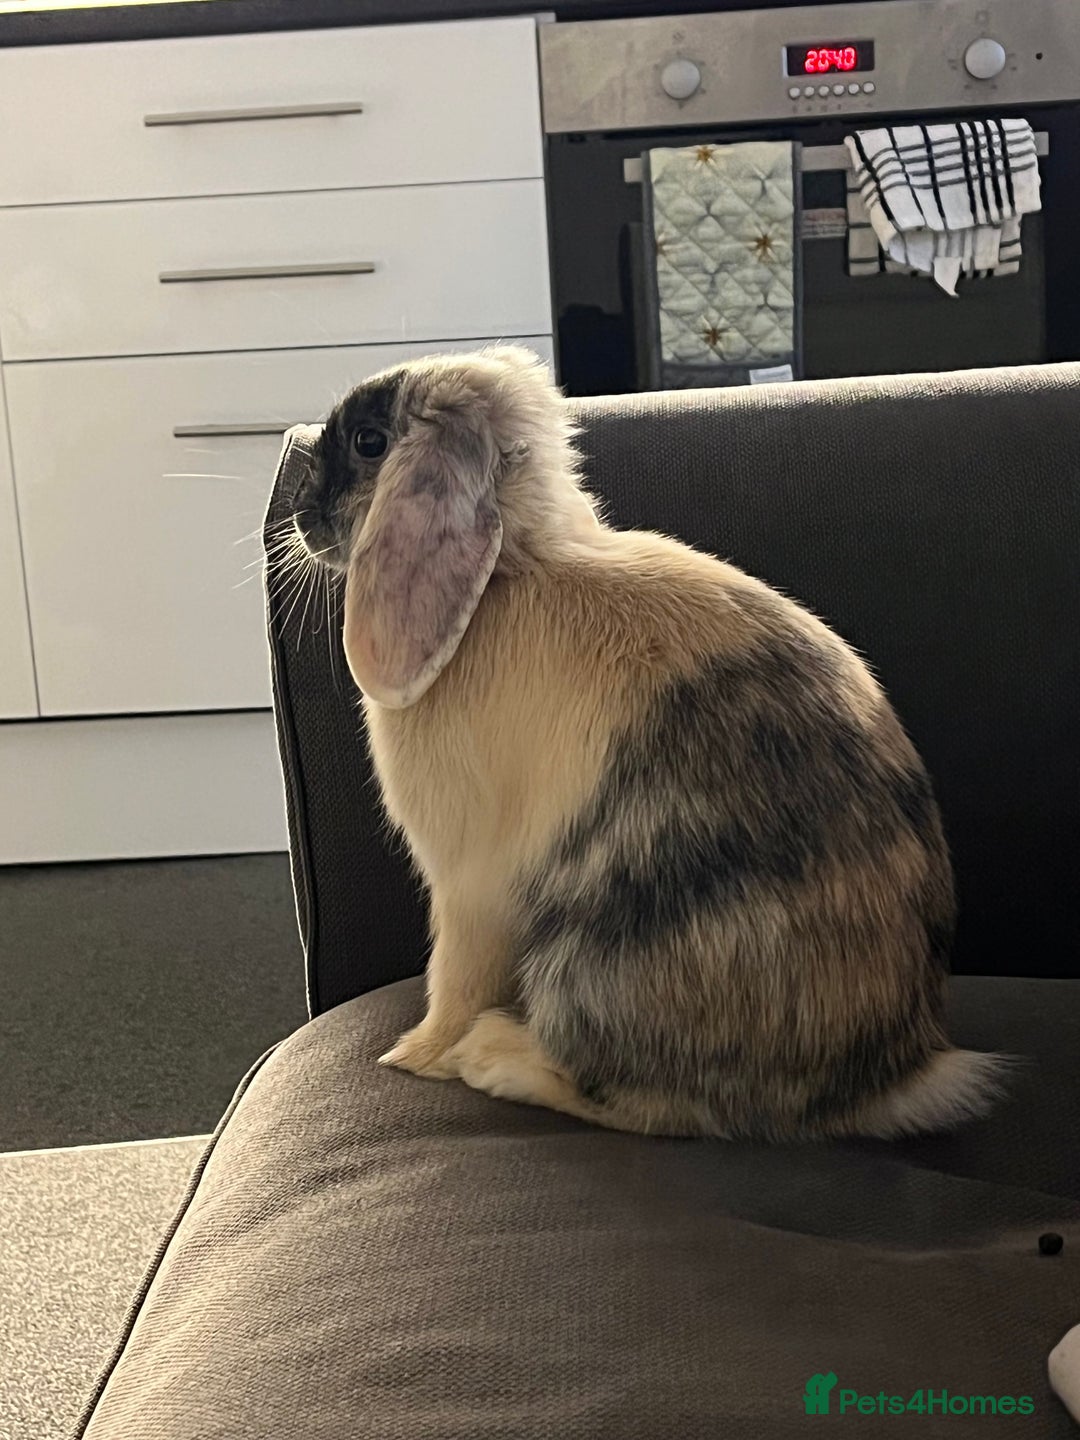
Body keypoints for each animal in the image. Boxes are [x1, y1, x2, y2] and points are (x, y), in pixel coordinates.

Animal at [292, 344, 1006, 1141]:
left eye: (369, 443)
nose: (297, 515)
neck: (508, 575)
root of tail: (889, 1077)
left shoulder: (467, 888)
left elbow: (456, 980)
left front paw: (413, 1056)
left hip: (589, 968)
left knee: (654, 1102)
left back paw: (496, 1058)